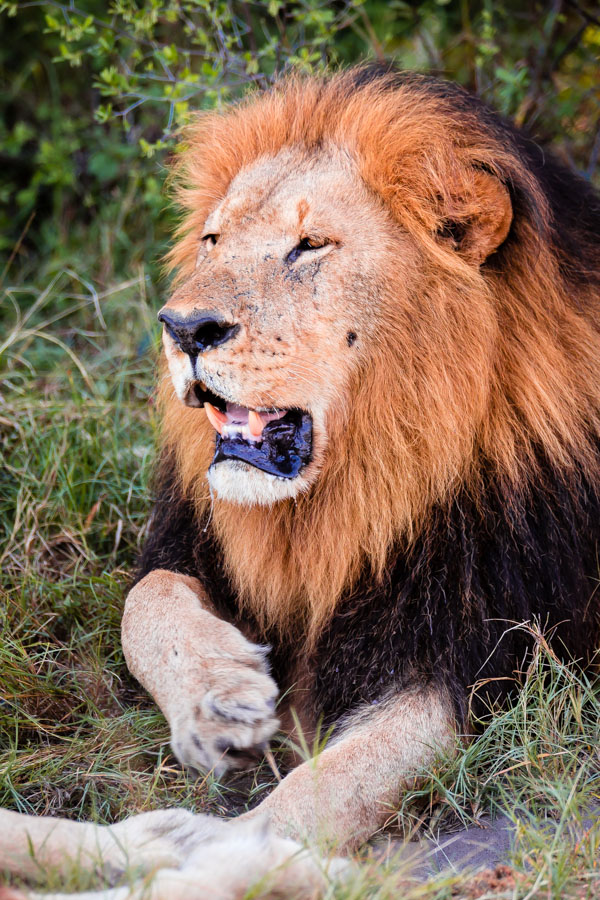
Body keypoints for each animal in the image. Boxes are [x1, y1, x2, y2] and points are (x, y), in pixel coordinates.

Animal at [1, 65, 600, 900]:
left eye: (309, 245)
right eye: (214, 240)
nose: (183, 328)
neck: (349, 499)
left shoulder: (482, 664)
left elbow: (300, 807)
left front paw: (211, 859)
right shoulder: (195, 542)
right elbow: (144, 600)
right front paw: (219, 702)